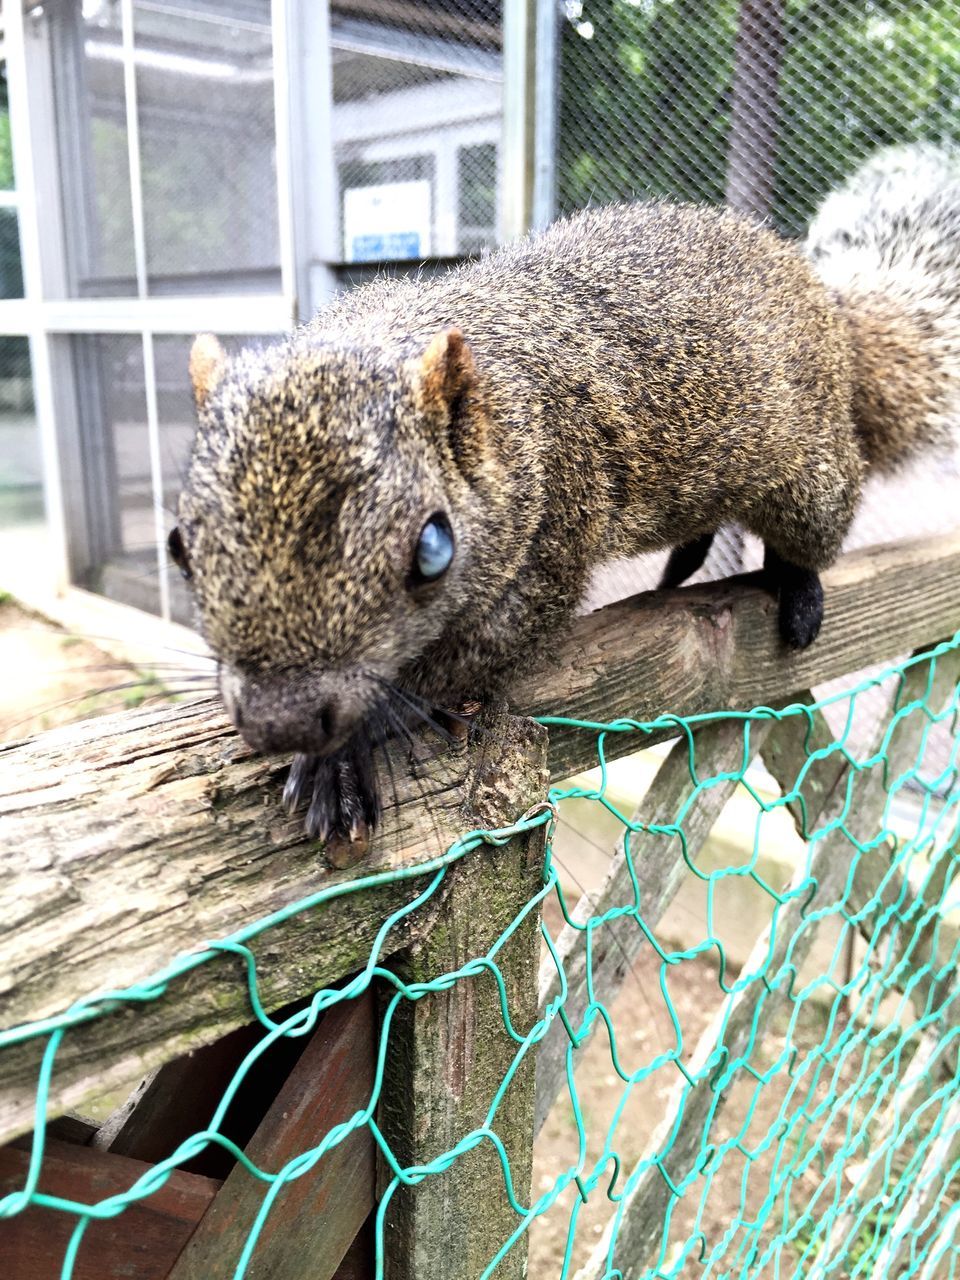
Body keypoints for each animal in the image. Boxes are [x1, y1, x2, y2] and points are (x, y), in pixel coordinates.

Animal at [171, 147, 960, 860]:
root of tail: (832, 310)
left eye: (433, 548)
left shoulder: (552, 533)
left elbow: (460, 664)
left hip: (811, 475)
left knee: (815, 529)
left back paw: (797, 590)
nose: (281, 724)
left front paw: (344, 751)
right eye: (180, 545)